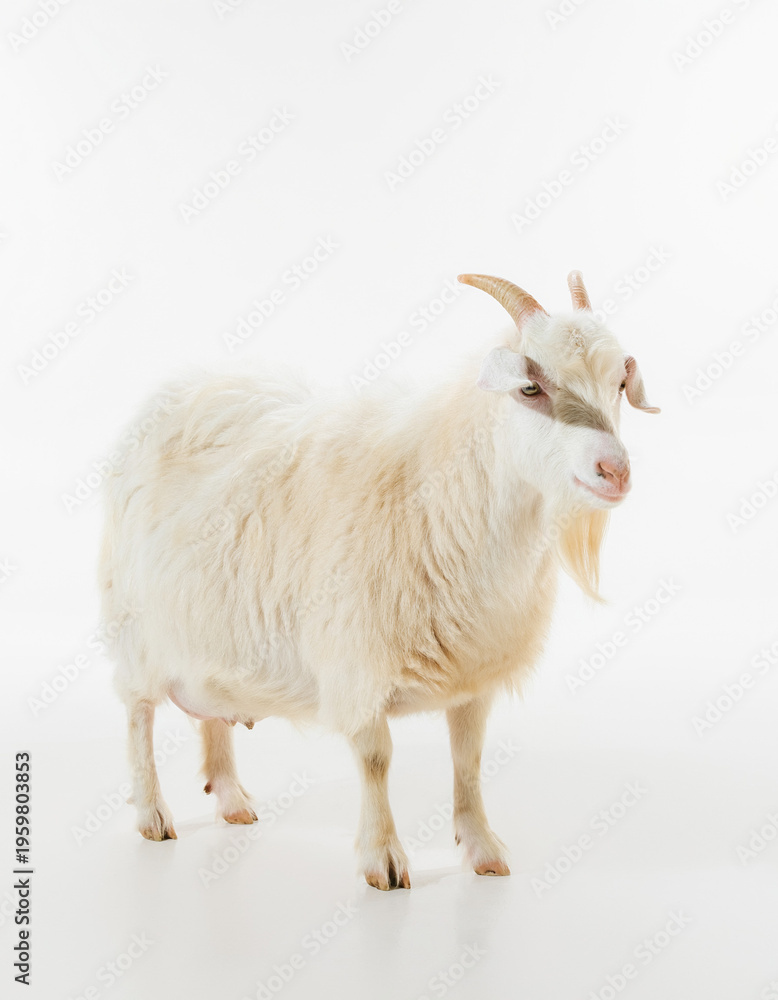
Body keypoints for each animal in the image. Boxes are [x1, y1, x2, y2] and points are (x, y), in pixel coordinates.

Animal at [99, 270, 658, 890]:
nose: (614, 471)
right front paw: (383, 860)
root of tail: (185, 389)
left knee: (211, 709)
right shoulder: (357, 664)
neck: (444, 493)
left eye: (617, 383)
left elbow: (468, 761)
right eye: (530, 388)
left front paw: (483, 850)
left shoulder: (474, 673)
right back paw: (153, 814)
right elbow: (376, 759)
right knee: (137, 713)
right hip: (136, 627)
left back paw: (231, 799)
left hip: (209, 628)